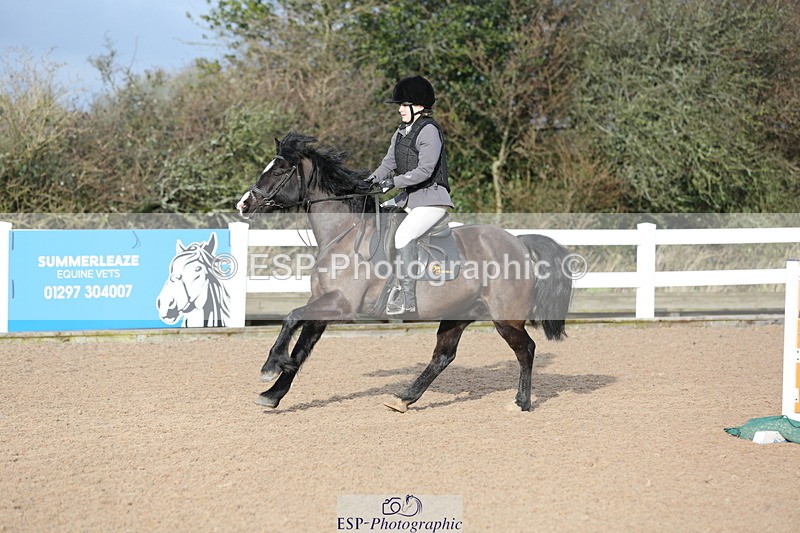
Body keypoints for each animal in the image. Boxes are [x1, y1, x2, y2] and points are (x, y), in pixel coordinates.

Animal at [237, 133, 573, 412]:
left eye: (278, 170)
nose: (243, 204)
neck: (344, 233)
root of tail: (518, 242)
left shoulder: (341, 304)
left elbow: (291, 317)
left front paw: (270, 365)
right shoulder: (323, 305)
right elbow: (300, 349)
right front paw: (273, 393)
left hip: (506, 318)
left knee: (526, 349)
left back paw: (521, 402)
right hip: (458, 313)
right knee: (443, 357)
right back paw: (404, 399)